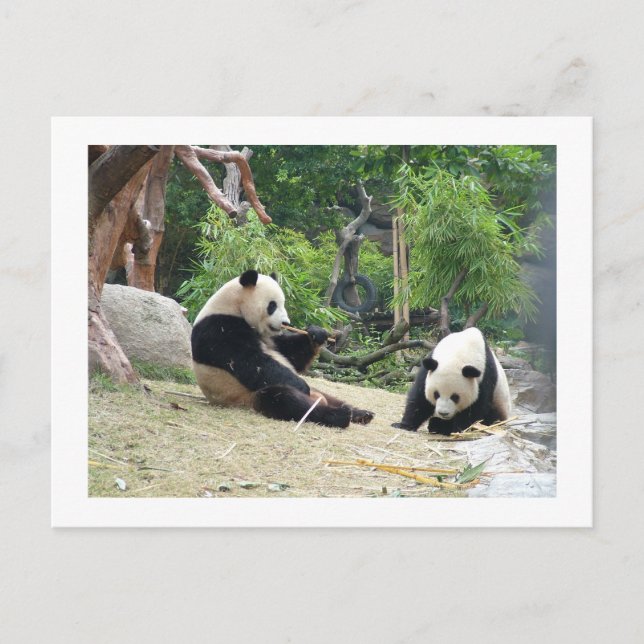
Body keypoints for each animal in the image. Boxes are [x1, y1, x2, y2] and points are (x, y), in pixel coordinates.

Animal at [191, 269, 374, 429]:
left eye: (283, 303)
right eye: (272, 305)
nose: (286, 322)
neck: (233, 306)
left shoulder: (271, 337)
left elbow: (292, 356)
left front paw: (317, 334)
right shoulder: (219, 330)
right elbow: (252, 363)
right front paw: (301, 385)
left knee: (331, 397)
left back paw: (361, 413)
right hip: (247, 396)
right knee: (285, 399)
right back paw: (338, 415)